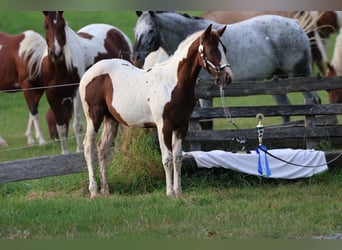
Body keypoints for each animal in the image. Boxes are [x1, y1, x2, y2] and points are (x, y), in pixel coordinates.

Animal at [39, 11, 132, 154]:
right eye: (45, 26)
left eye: (62, 25)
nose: (57, 52)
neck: (58, 68)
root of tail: (116, 31)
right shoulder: (51, 95)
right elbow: (61, 126)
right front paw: (65, 152)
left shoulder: (76, 92)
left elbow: (77, 124)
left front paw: (79, 150)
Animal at [79, 25, 232, 197]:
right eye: (212, 50)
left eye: (224, 49)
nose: (227, 77)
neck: (174, 83)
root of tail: (88, 73)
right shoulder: (163, 126)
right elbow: (167, 158)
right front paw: (169, 192)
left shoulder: (182, 126)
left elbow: (178, 158)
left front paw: (178, 191)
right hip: (94, 117)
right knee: (88, 147)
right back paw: (94, 190)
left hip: (111, 119)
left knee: (102, 149)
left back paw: (105, 190)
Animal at [134, 11, 320, 124]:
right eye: (136, 30)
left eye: (151, 29)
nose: (136, 58)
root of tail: (296, 24)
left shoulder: (205, 95)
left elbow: (206, 121)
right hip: (276, 82)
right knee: (285, 109)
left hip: (300, 76)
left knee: (312, 101)